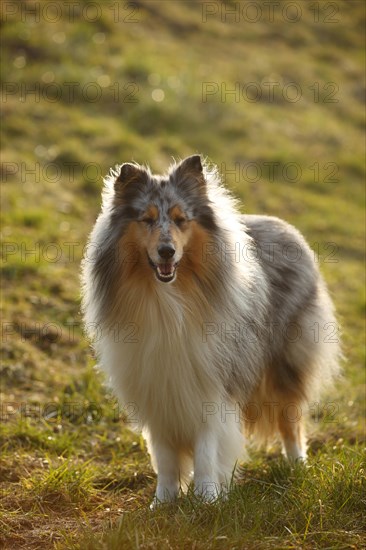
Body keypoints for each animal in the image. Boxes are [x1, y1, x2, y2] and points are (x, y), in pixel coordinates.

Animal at [81, 154, 342, 504]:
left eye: (181, 220)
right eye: (147, 219)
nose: (166, 251)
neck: (167, 298)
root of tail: (285, 226)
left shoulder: (212, 386)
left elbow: (207, 448)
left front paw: (207, 499)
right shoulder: (155, 388)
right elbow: (164, 456)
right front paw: (162, 502)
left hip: (284, 363)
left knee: (291, 418)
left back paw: (297, 466)